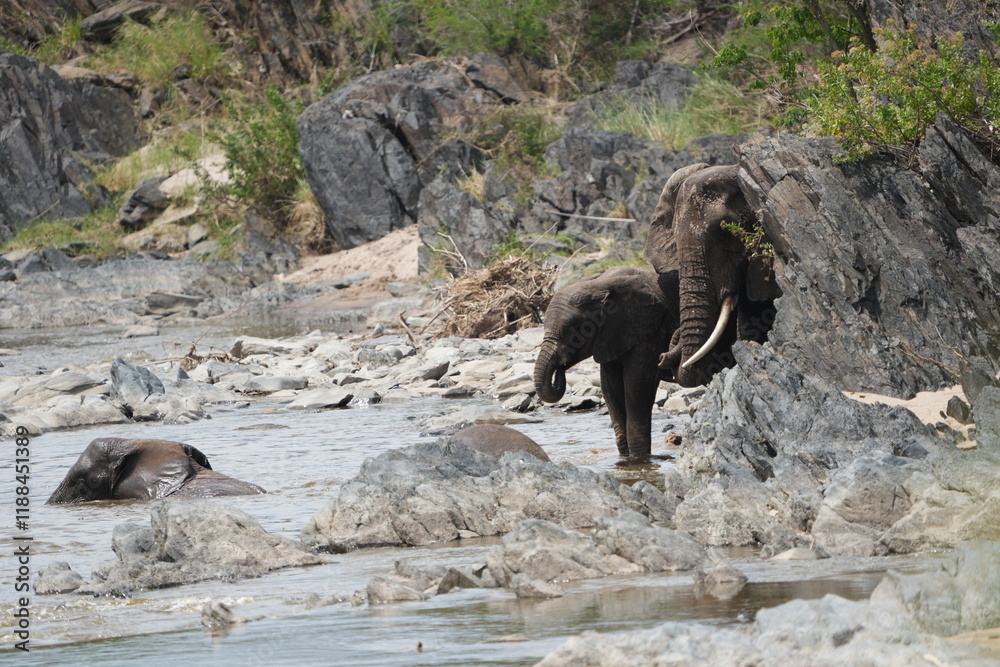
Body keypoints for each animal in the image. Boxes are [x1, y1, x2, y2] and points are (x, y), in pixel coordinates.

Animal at [533, 265, 679, 461]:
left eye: (574, 331)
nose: (560, 368)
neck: (598, 284)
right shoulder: (611, 335)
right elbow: (610, 388)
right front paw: (626, 459)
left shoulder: (650, 330)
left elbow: (638, 385)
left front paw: (638, 459)